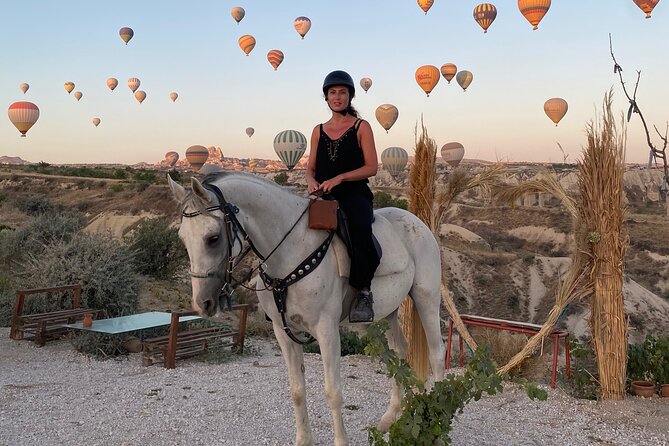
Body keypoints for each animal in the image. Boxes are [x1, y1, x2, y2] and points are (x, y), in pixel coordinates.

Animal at [167, 172, 444, 446]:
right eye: (182, 238)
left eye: (212, 238)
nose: (203, 303)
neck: (292, 252)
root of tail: (417, 222)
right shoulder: (284, 332)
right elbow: (297, 390)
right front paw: (303, 439)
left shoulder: (327, 332)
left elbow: (333, 392)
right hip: (387, 314)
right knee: (400, 351)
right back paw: (389, 418)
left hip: (427, 300)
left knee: (436, 354)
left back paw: (438, 416)